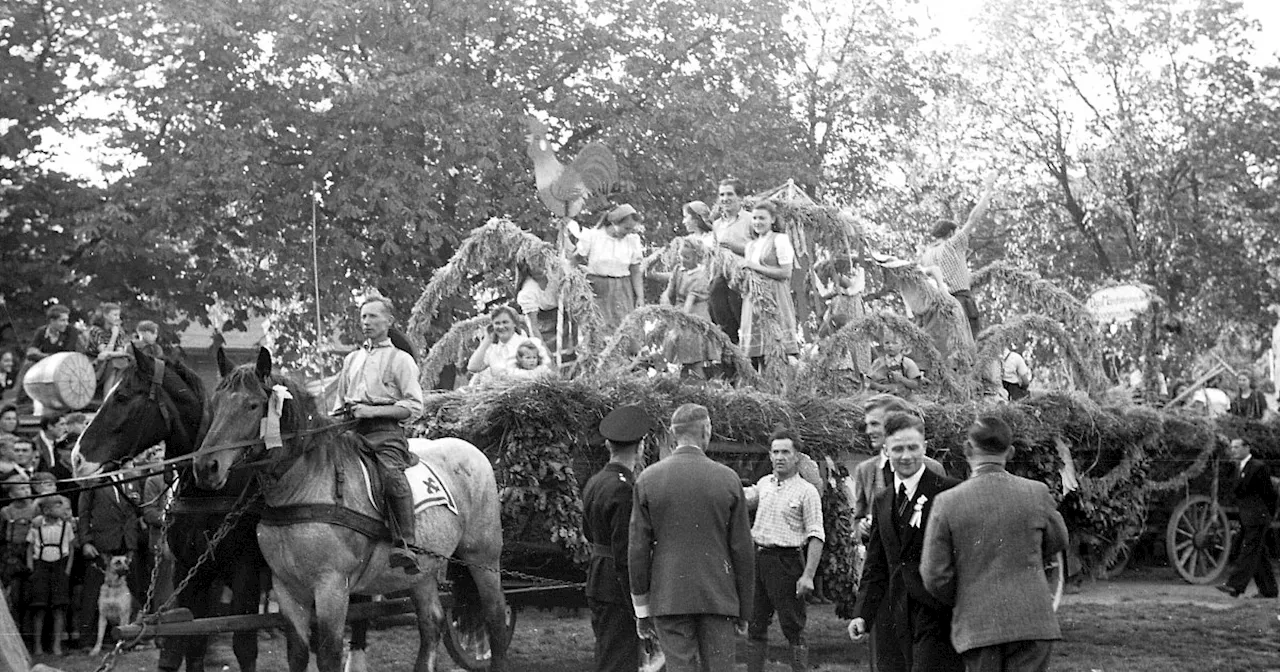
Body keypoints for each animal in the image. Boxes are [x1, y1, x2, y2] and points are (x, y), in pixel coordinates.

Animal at [190, 348, 509, 670]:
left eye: (252, 405)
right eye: (216, 403)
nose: (206, 467)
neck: (305, 485)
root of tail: (473, 452)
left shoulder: (332, 587)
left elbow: (329, 655)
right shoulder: (287, 589)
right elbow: (297, 654)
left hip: (483, 558)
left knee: (496, 620)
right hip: (422, 570)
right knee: (432, 622)